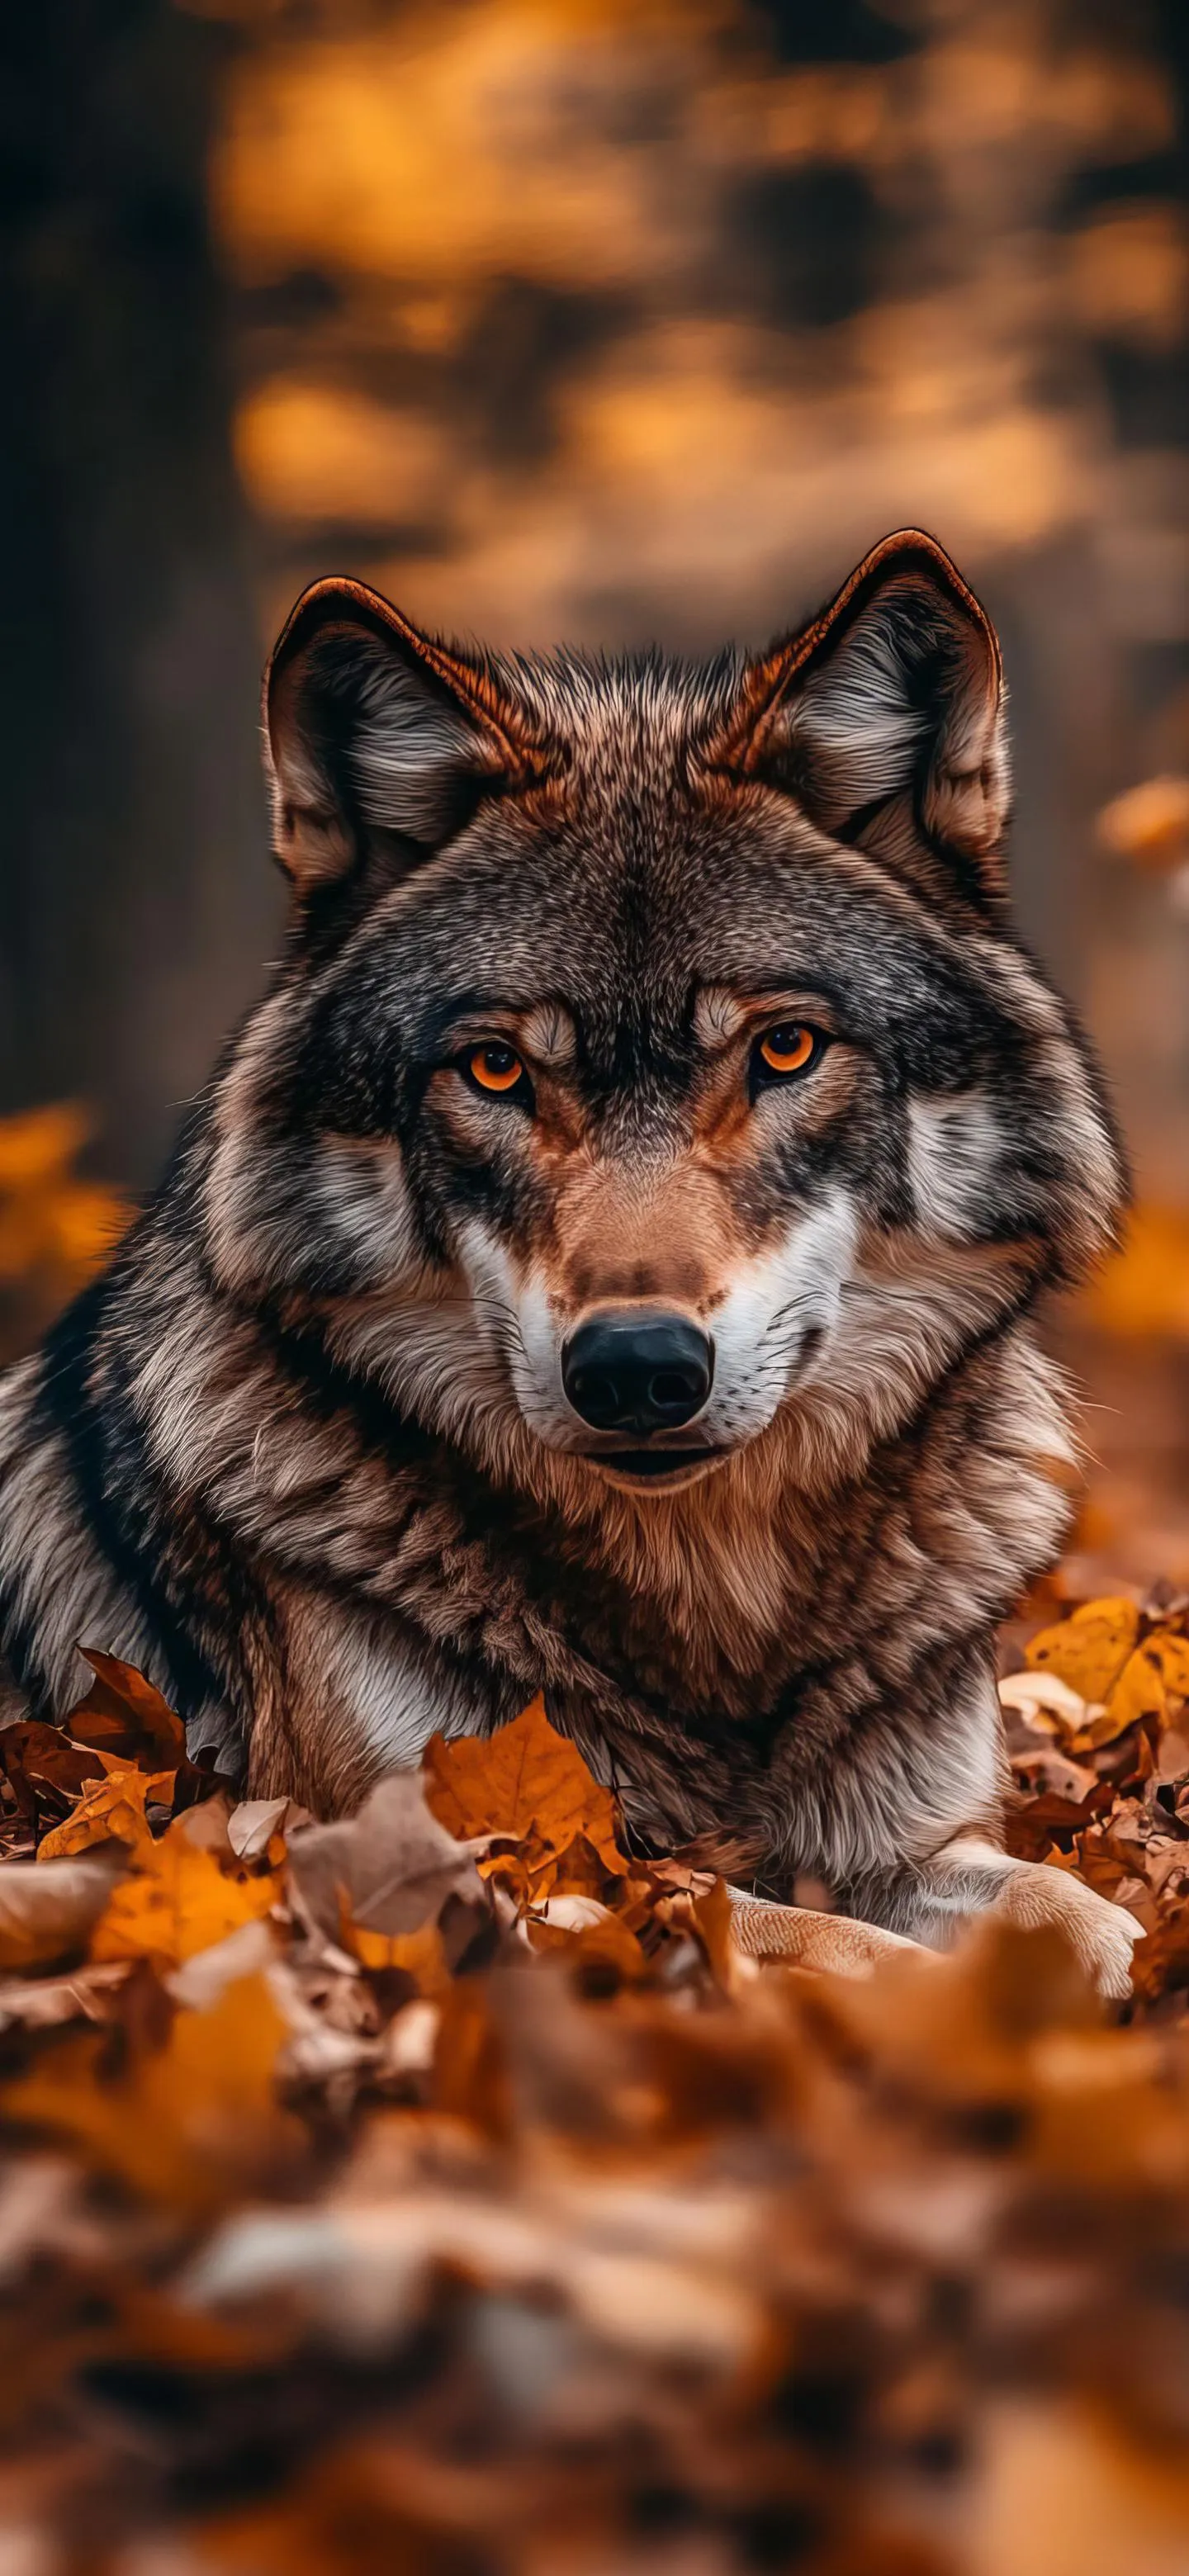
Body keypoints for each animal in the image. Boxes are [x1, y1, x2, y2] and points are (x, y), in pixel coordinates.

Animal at [0, 528, 1139, 1991]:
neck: (710, 1606)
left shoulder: (921, 1843)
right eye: (495, 1068)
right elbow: (837, 1950)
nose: (638, 1368)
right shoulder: (476, 1869)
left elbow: (1084, 1916)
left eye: (783, 1049)